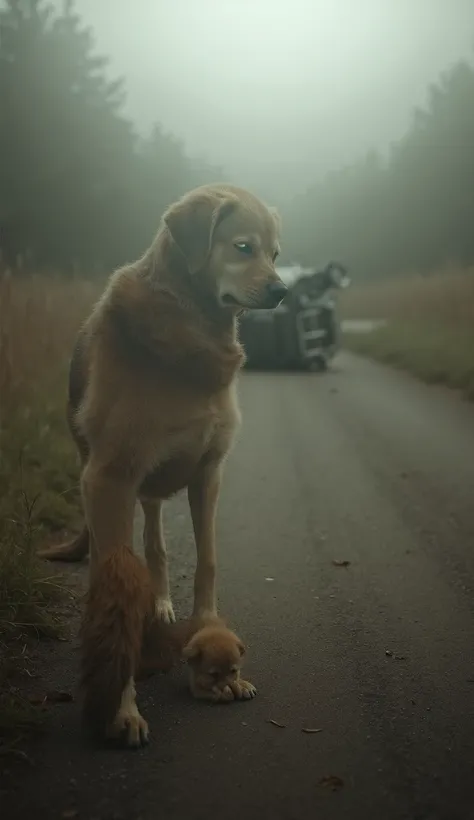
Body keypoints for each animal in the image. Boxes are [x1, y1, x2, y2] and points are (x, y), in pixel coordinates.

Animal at [39, 183, 286, 748]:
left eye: (276, 254)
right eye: (243, 247)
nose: (283, 291)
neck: (189, 333)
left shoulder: (209, 472)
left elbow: (207, 561)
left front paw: (208, 631)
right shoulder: (110, 479)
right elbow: (114, 594)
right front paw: (122, 709)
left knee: (155, 542)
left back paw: (162, 601)